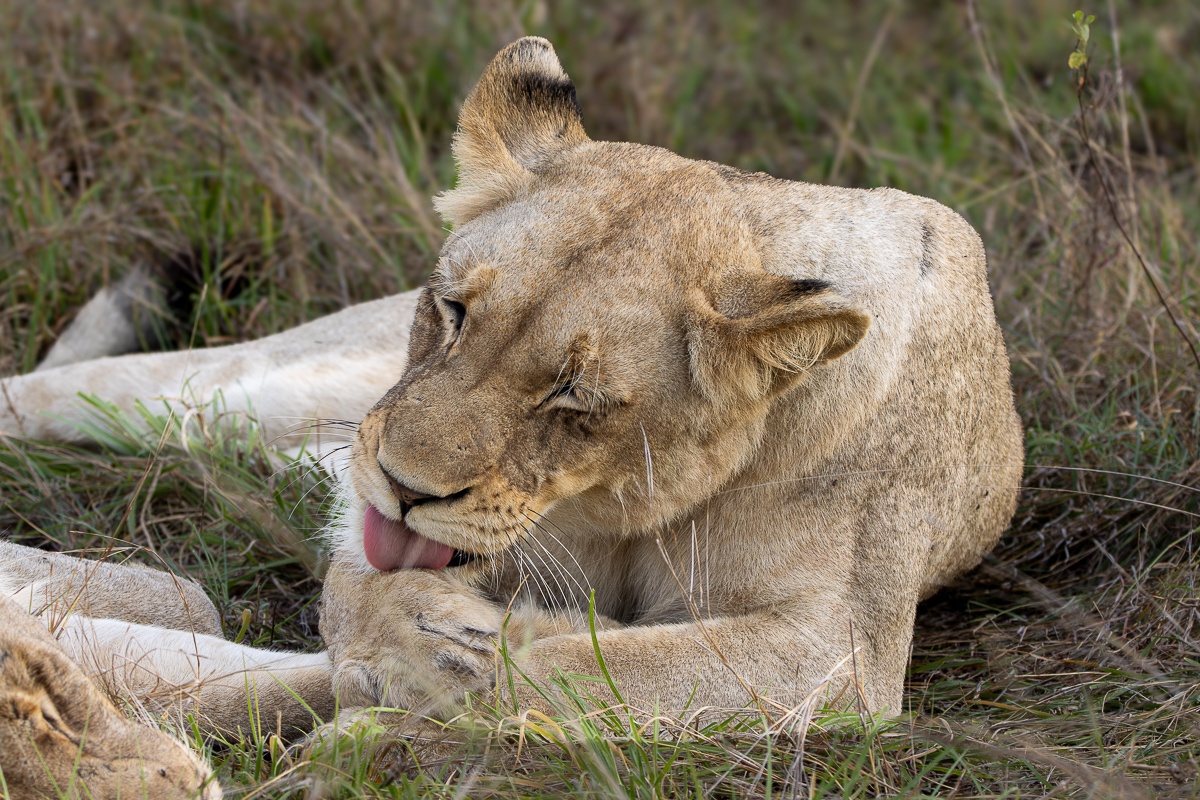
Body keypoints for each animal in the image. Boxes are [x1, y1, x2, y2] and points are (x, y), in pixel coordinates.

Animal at [0, 34, 1022, 780]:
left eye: (574, 394)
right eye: (454, 310)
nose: (403, 486)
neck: (628, 497)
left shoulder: (839, 651)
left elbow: (606, 668)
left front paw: (421, 700)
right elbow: (362, 580)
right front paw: (409, 649)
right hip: (264, 391)